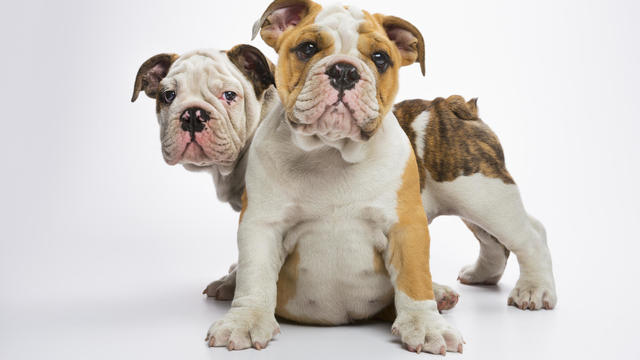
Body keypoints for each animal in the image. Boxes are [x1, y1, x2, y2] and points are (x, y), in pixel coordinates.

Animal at [208, 0, 462, 354]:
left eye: (380, 58)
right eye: (307, 48)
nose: (344, 70)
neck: (331, 151)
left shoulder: (406, 225)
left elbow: (414, 278)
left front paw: (426, 325)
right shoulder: (261, 224)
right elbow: (254, 275)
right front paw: (244, 321)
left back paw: (440, 293)